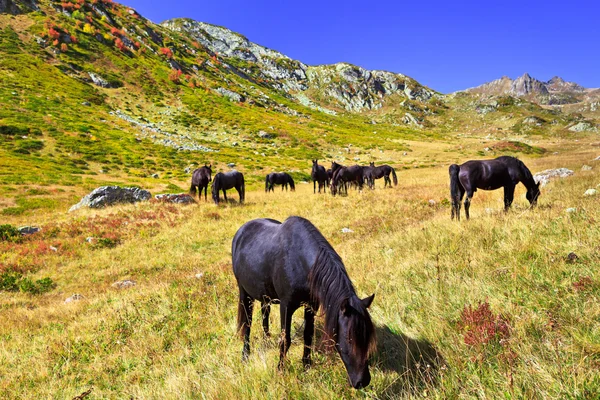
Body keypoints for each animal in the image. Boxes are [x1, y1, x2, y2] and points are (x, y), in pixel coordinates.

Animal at [231, 217, 376, 390]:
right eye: (350, 339)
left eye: (368, 337)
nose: (363, 381)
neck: (300, 262)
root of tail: (241, 231)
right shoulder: (286, 306)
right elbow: (285, 340)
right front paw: (280, 370)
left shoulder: (311, 306)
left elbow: (308, 335)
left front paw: (306, 366)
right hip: (244, 293)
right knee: (247, 323)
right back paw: (245, 355)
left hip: (264, 294)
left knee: (264, 313)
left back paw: (266, 340)